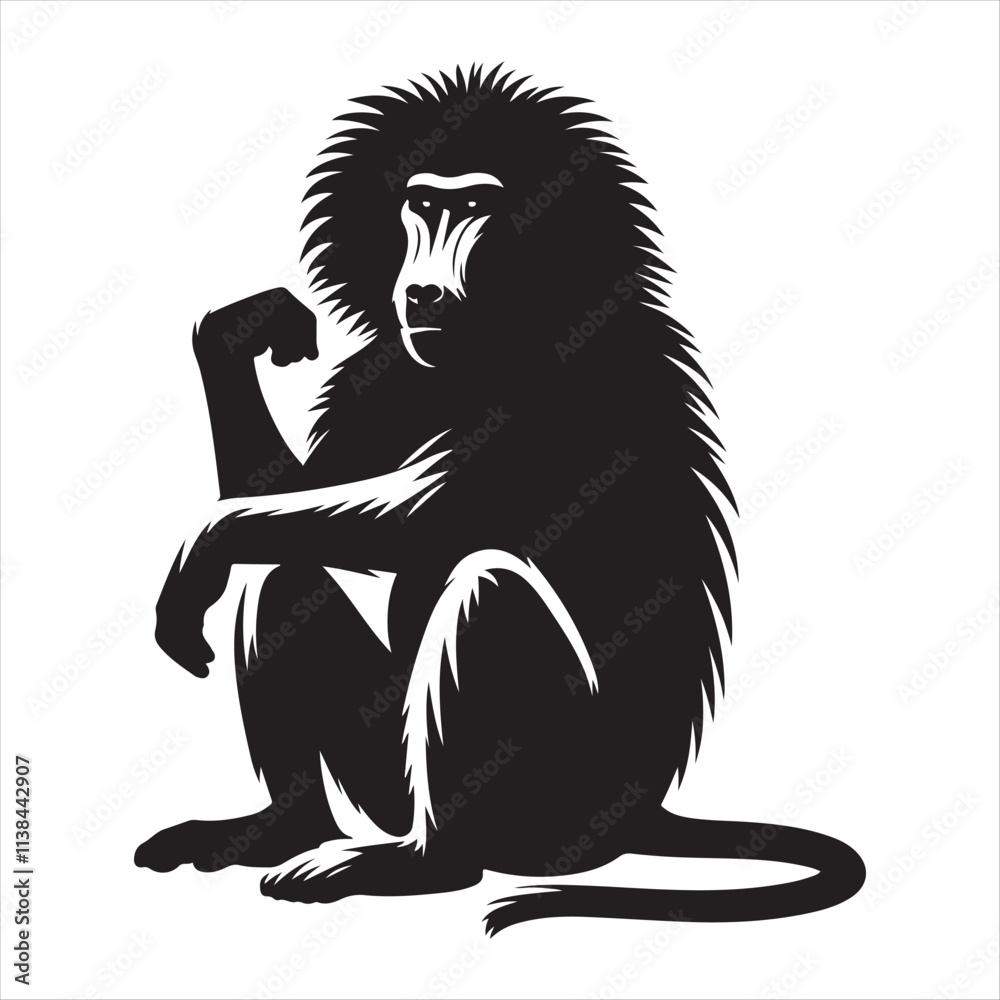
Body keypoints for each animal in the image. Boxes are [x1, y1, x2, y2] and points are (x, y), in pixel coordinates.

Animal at [135, 65, 865, 934]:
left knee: (486, 585)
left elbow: (434, 518)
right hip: (389, 778)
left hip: (564, 796)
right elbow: (294, 502)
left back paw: (420, 864)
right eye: (422, 204)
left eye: (478, 206)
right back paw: (286, 827)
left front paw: (201, 550)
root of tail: (643, 814)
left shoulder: (580, 367)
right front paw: (235, 333)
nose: (422, 291)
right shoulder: (376, 371)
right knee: (281, 570)